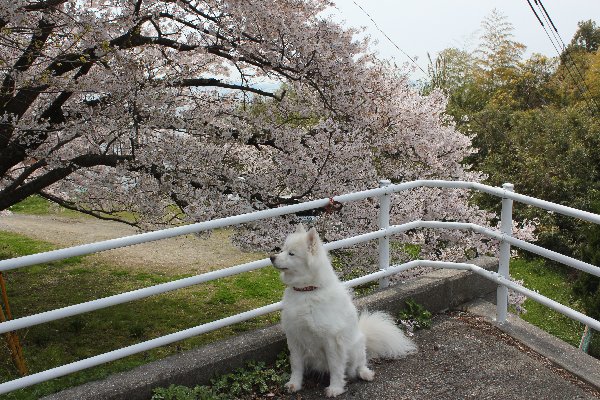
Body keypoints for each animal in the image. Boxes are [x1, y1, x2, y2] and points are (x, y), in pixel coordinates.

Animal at [270, 225, 414, 396]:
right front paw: (294, 384)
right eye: (282, 249)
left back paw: (365, 373)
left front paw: (335, 388)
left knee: (359, 364)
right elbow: (296, 365)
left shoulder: (332, 341)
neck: (307, 291)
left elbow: (336, 367)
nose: (271, 257)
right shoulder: (295, 337)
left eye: (291, 253)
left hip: (356, 348)